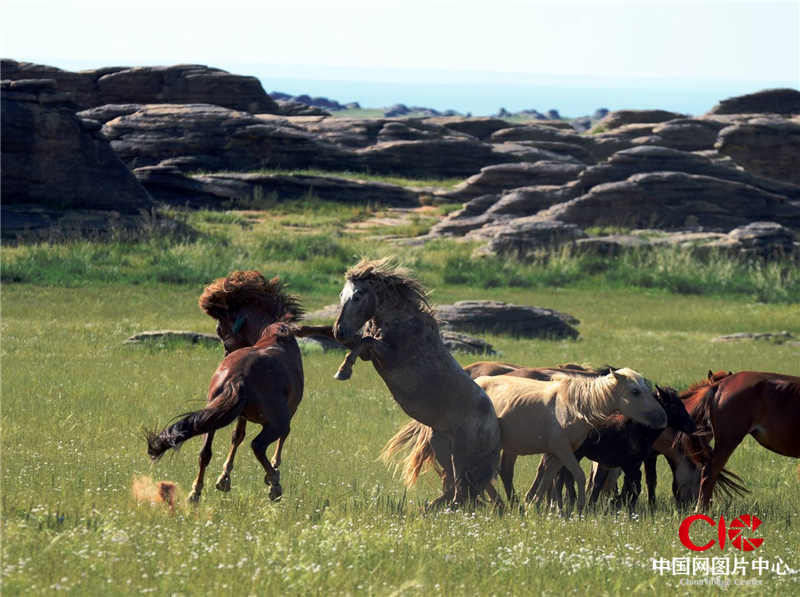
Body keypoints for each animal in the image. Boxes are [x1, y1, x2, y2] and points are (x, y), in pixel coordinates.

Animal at [145, 272, 304, 500]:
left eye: (220, 328)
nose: (226, 352)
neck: (274, 333)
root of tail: (238, 376)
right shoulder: (290, 411)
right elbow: (278, 440)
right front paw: (274, 468)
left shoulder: (241, 415)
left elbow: (236, 437)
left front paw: (223, 479)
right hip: (276, 422)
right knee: (258, 445)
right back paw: (274, 483)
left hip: (213, 412)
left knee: (205, 452)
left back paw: (195, 493)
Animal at [300, 258, 500, 508]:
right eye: (341, 294)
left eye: (358, 295)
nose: (341, 331)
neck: (401, 322)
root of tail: (496, 428)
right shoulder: (368, 350)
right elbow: (336, 334)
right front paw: (294, 328)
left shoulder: (385, 354)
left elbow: (364, 342)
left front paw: (343, 371)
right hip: (443, 449)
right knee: (457, 492)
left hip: (462, 456)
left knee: (462, 495)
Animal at [384, 366, 664, 516]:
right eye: (635, 391)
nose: (661, 419)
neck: (573, 405)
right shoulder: (563, 449)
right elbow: (578, 476)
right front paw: (579, 508)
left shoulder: (557, 452)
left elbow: (548, 479)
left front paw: (535, 505)